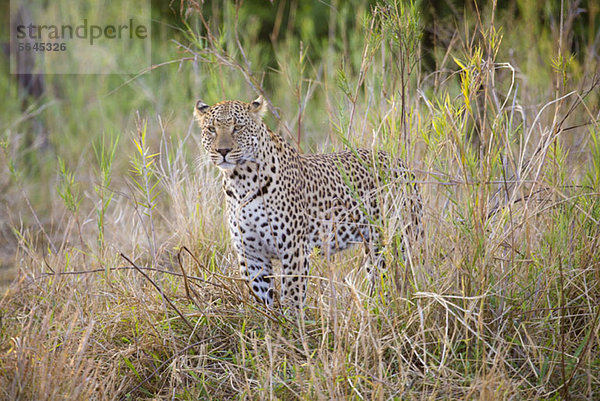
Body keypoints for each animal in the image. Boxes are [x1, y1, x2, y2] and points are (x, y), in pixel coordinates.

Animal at [193, 95, 422, 310]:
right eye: (211, 129)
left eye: (237, 128)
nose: (223, 151)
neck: (240, 182)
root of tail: (401, 163)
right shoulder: (251, 255)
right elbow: (263, 299)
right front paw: (270, 323)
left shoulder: (294, 249)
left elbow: (292, 297)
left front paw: (292, 324)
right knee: (379, 278)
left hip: (397, 239)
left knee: (401, 275)